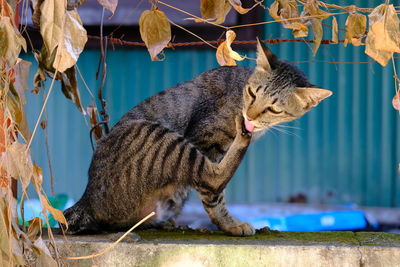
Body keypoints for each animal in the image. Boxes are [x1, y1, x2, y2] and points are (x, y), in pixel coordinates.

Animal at [64, 41, 332, 237]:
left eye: (274, 109)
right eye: (252, 93)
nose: (249, 115)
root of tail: (85, 200)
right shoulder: (206, 142)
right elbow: (214, 196)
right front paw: (229, 224)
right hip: (158, 137)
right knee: (213, 178)